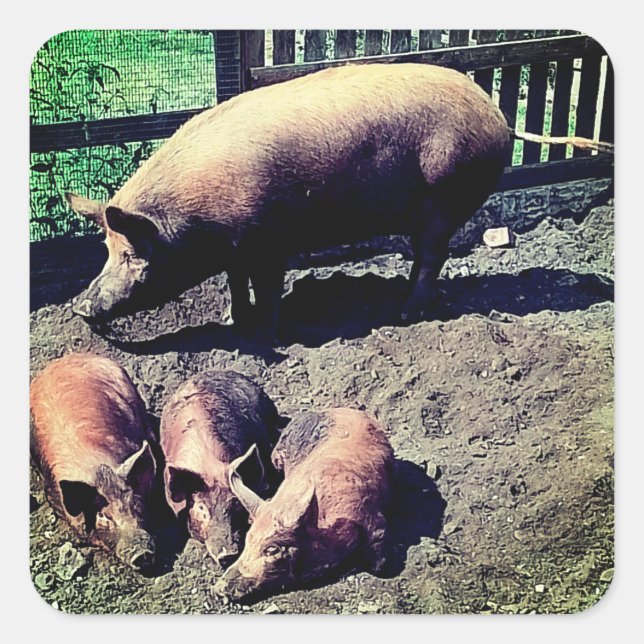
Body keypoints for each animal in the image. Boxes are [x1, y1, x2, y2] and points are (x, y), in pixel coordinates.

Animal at [65, 62, 511, 341]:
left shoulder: (269, 242)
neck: (200, 221)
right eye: (107, 249)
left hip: (447, 194)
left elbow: (267, 289)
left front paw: (264, 336)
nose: (80, 306)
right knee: (423, 254)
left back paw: (406, 313)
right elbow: (236, 282)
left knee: (434, 254)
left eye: (132, 254)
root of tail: (496, 115)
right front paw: (232, 320)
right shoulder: (237, 250)